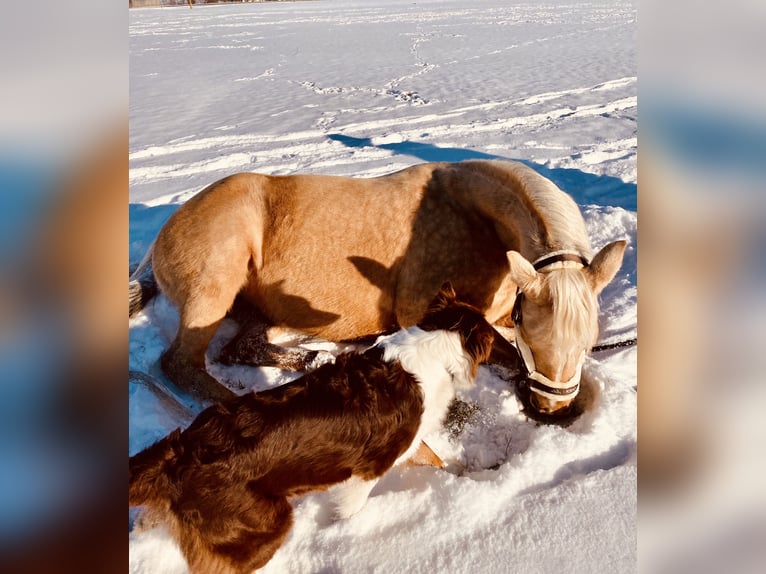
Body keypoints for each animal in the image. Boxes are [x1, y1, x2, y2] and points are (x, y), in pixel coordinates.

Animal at [129, 159, 626, 416]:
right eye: (529, 331)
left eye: (588, 344)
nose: (550, 408)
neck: (480, 223)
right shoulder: (429, 312)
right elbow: (500, 352)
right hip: (218, 280)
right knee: (180, 363)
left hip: (267, 307)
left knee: (242, 348)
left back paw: (318, 358)